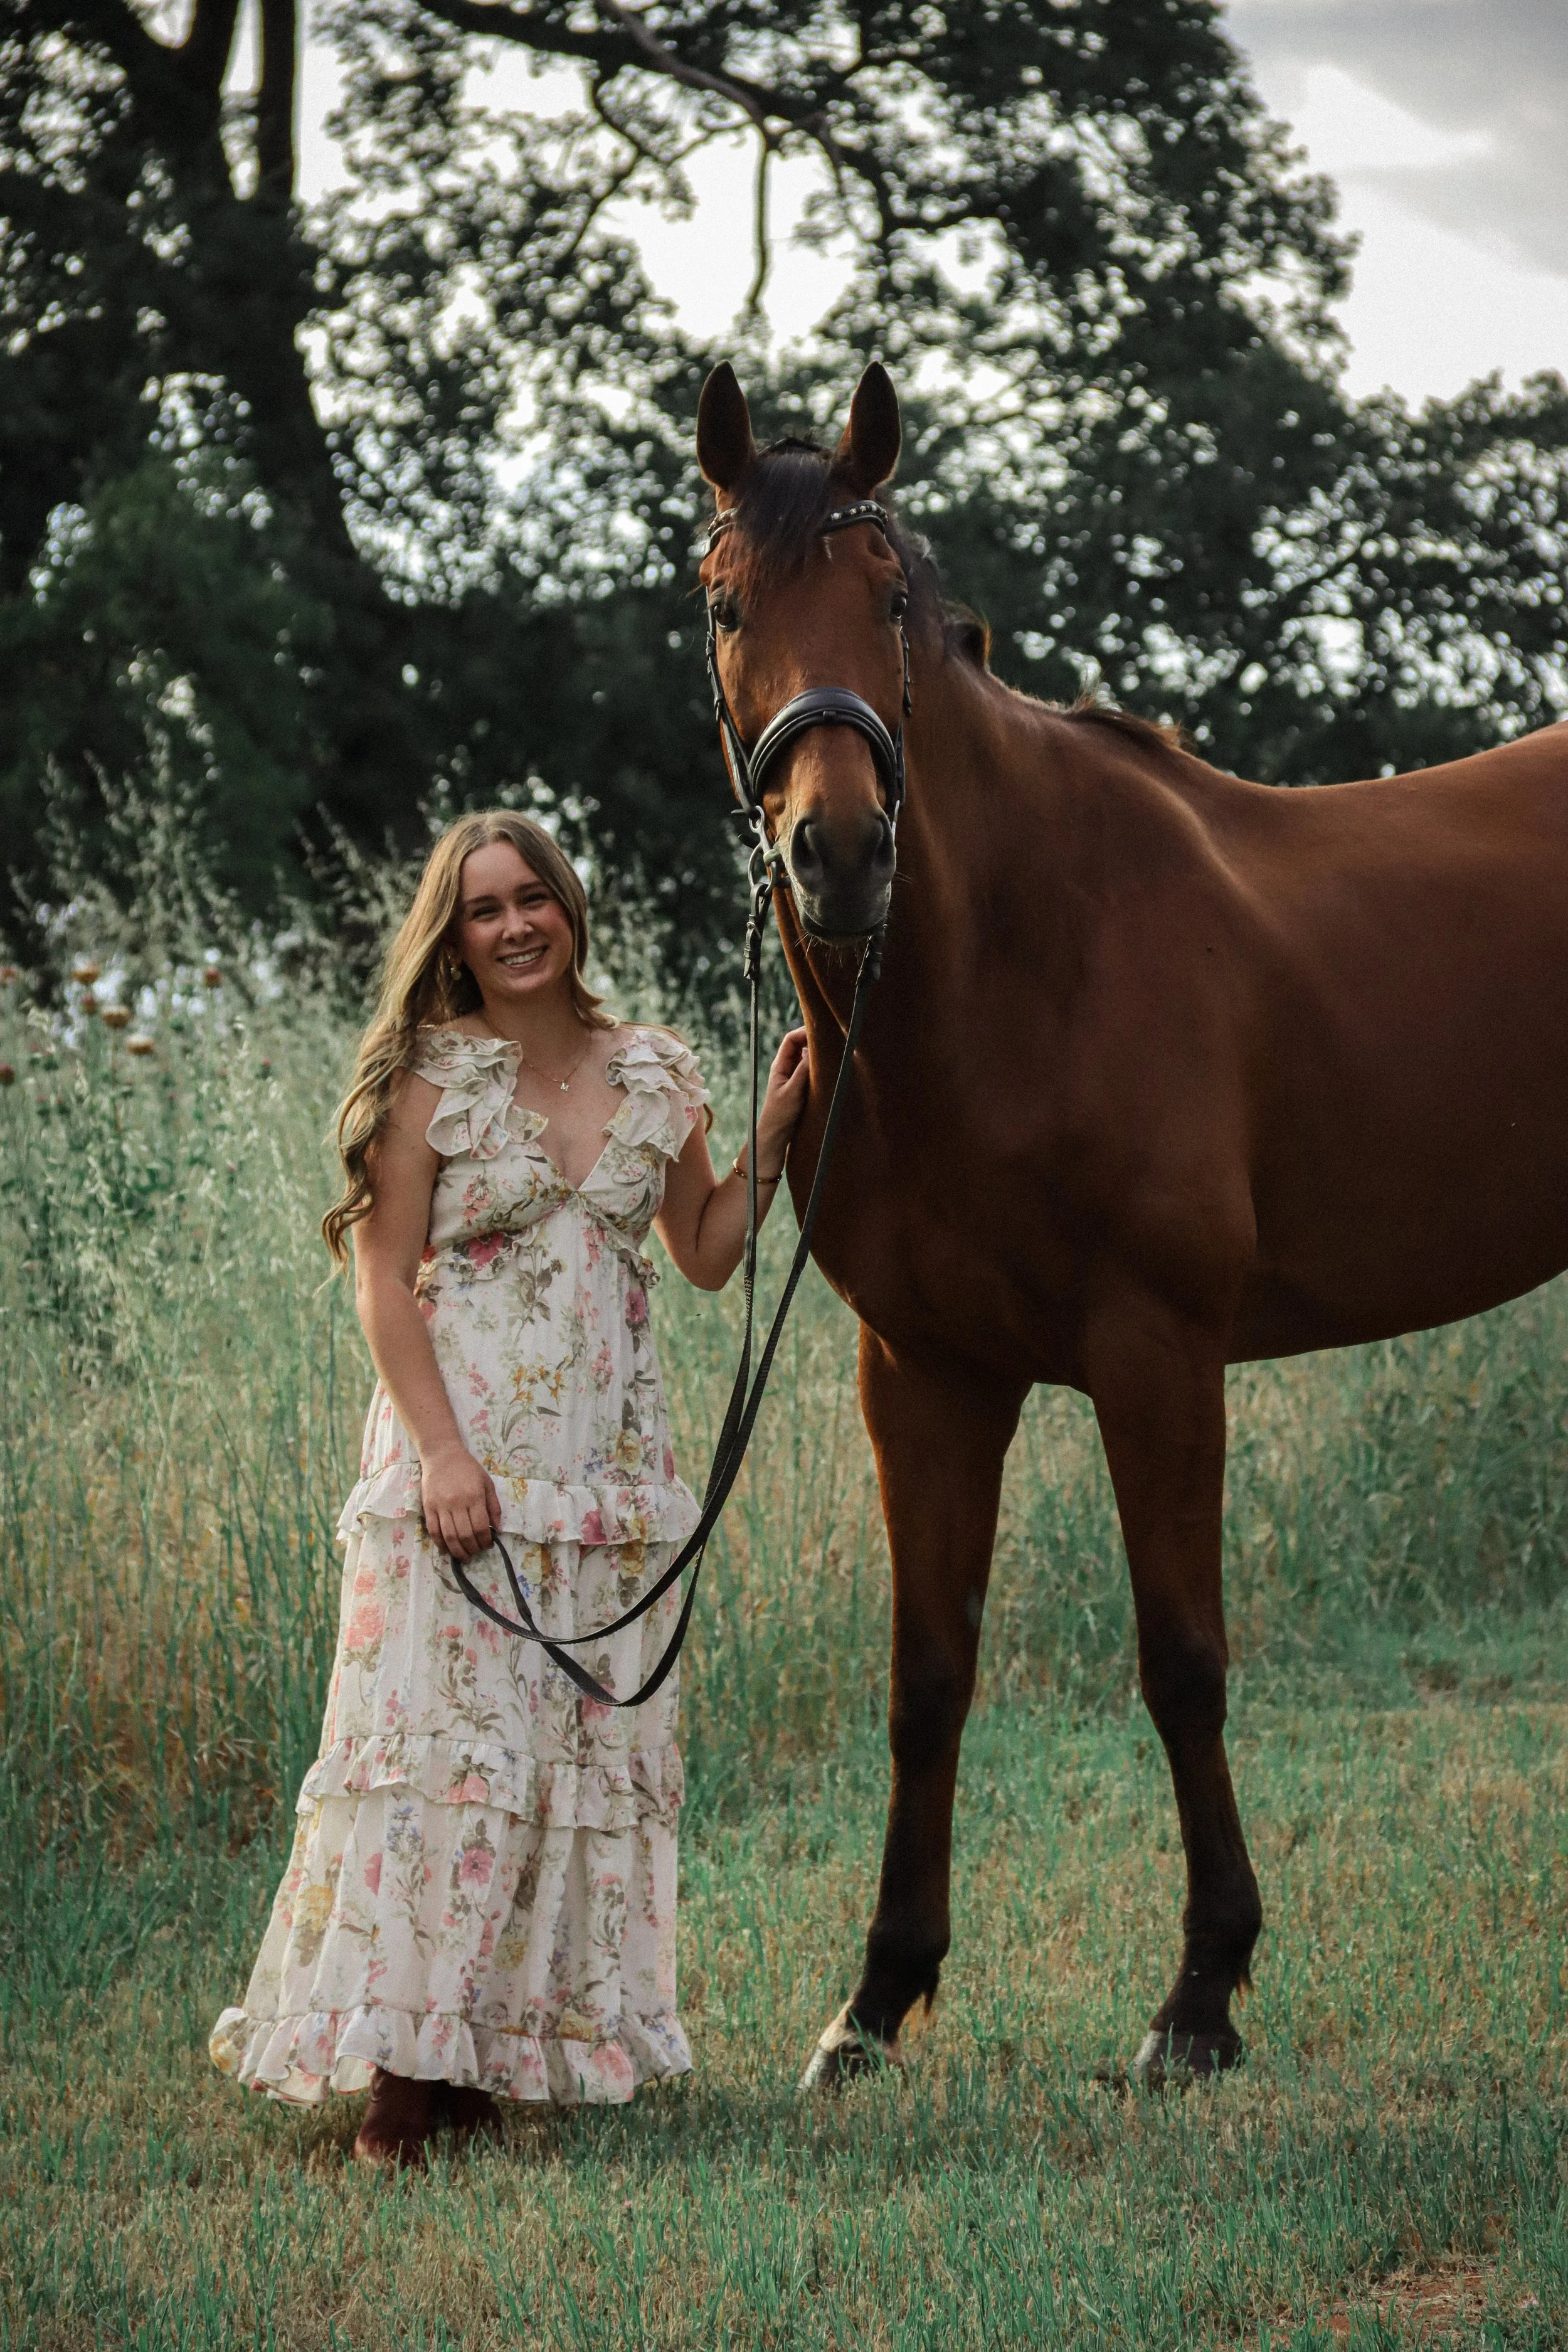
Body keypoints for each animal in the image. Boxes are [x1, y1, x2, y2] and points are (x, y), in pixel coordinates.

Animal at [693, 357, 1568, 2088]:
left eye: (890, 600)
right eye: (724, 600)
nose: (840, 852)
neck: (1014, 969)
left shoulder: (1157, 1354)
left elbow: (1180, 1662)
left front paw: (1199, 1996)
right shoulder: (926, 1376)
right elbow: (927, 1678)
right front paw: (874, 2000)